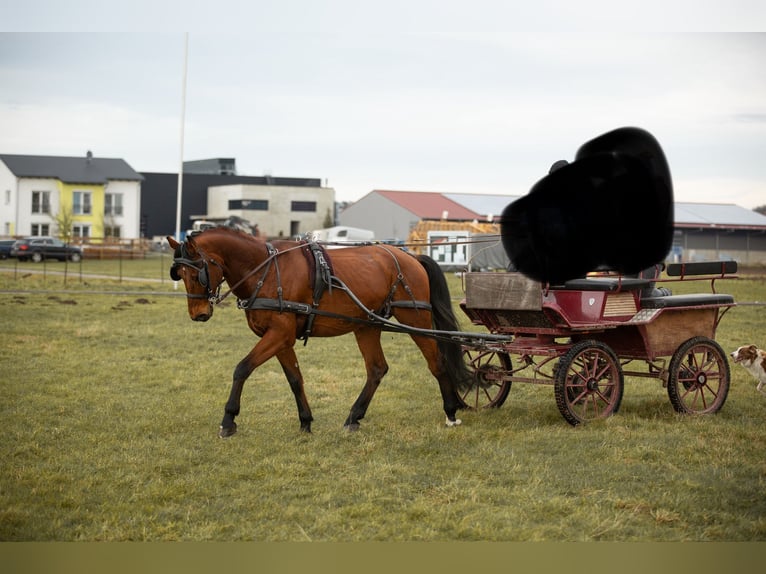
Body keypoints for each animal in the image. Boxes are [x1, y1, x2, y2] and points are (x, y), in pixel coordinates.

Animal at [166, 227, 472, 438]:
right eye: (178, 274)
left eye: (197, 273)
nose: (198, 314)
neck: (266, 271)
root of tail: (410, 257)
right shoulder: (281, 338)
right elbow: (295, 379)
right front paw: (305, 421)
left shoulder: (279, 334)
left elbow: (242, 368)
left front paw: (228, 421)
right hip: (367, 326)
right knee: (377, 369)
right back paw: (354, 417)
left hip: (415, 318)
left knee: (436, 362)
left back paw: (450, 411)